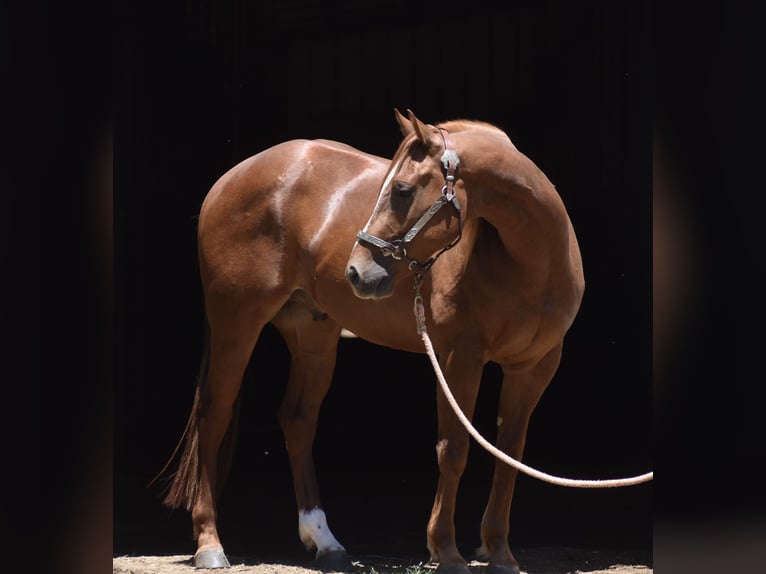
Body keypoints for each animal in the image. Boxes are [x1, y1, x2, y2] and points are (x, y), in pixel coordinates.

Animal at [157, 109, 585, 574]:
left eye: (401, 190)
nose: (357, 272)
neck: (531, 265)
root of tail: (227, 180)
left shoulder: (535, 367)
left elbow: (509, 454)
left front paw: (501, 553)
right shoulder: (459, 360)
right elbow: (453, 450)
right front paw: (446, 551)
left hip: (313, 333)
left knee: (298, 419)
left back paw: (326, 542)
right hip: (236, 322)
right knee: (213, 415)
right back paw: (210, 544)